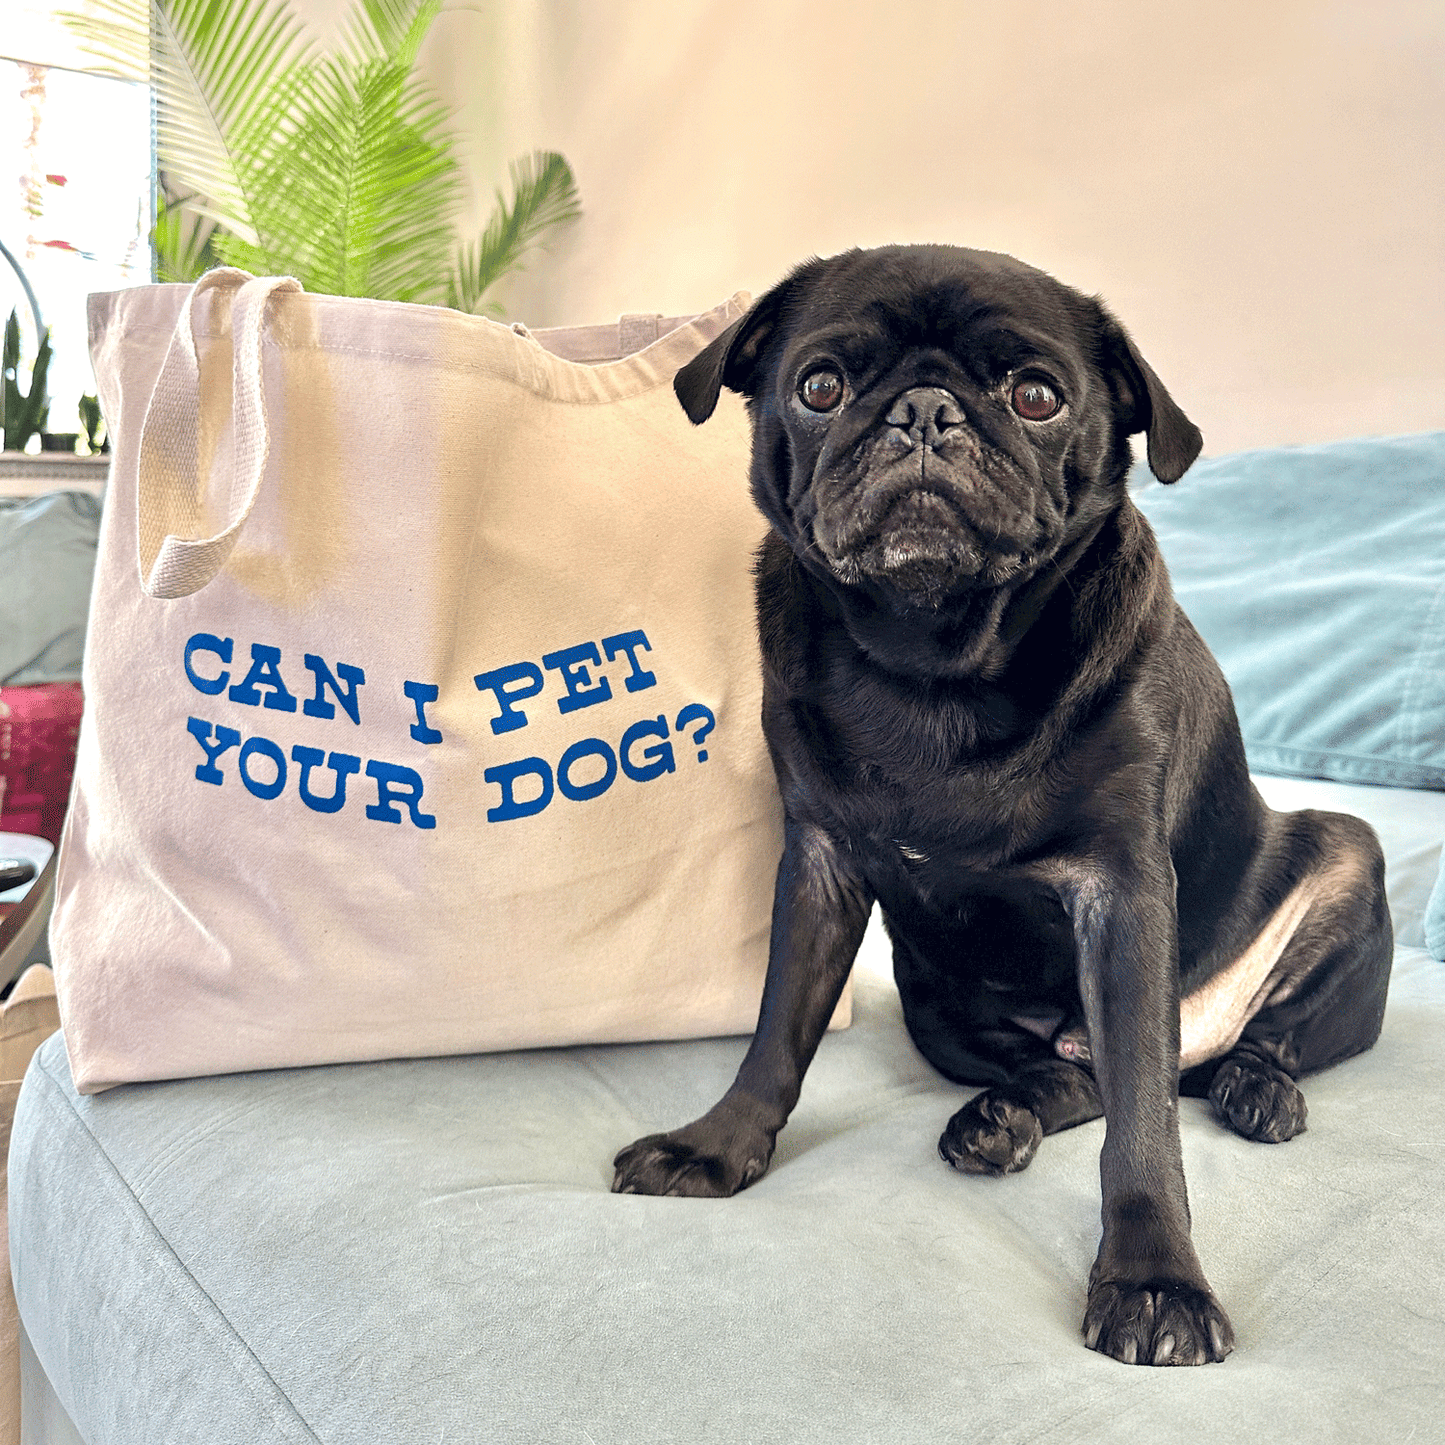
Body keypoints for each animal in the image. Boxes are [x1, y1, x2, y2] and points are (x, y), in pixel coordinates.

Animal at [606, 245, 1387, 1364]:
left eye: (1036, 397)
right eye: (819, 387)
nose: (925, 409)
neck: (929, 661)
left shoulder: (1122, 893)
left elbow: (1141, 1128)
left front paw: (1153, 1280)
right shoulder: (818, 868)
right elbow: (776, 1031)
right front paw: (716, 1145)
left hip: (1345, 857)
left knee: (1214, 1055)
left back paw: (1254, 1087)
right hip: (931, 998)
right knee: (1084, 1071)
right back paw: (1002, 1116)